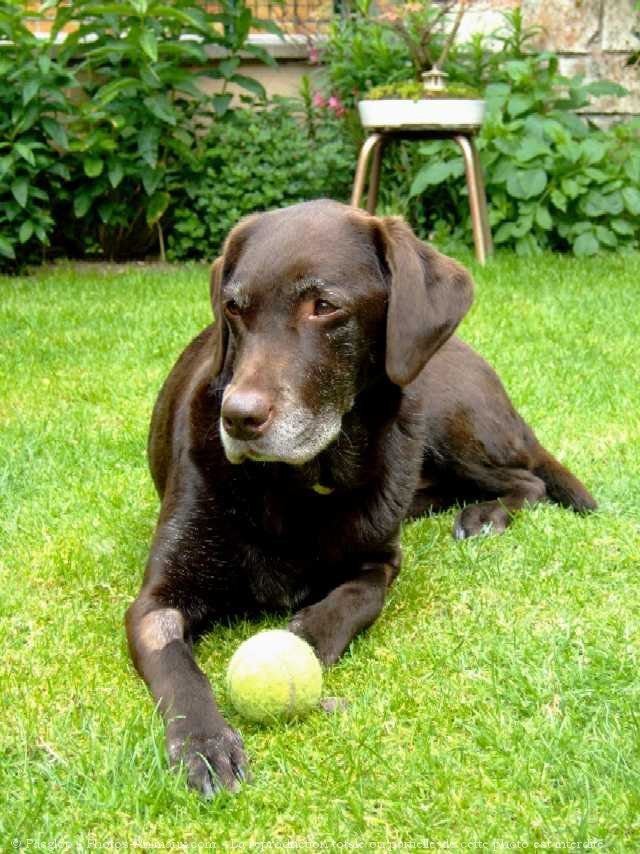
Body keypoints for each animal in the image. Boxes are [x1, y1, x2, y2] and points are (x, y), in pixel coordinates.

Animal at [125, 199, 596, 796]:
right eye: (233, 308)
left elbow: (361, 595)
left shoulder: (381, 561)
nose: (237, 417)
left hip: (445, 418)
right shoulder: (156, 601)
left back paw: (484, 517)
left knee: (527, 480)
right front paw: (204, 743)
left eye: (324, 306)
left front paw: (311, 633)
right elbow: (179, 670)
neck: (299, 485)